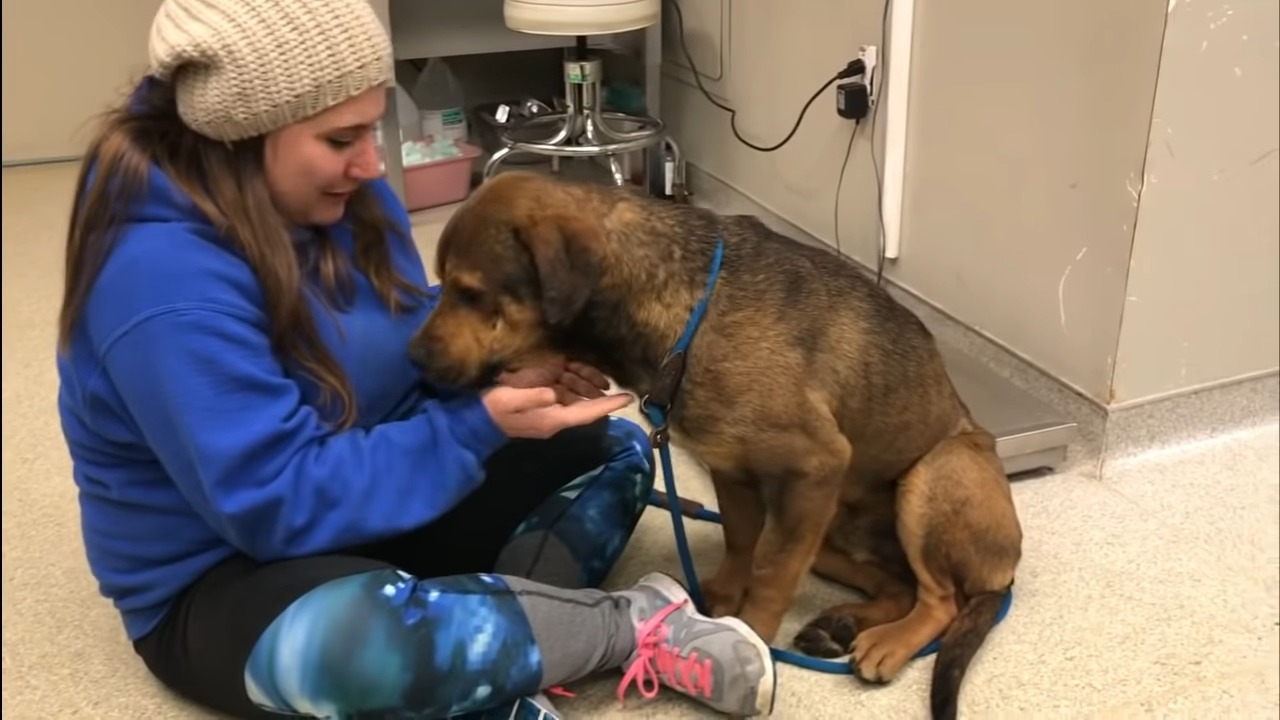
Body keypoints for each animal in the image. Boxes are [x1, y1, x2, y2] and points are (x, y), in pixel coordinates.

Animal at [414, 170, 1024, 712]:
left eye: (470, 293)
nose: (412, 359)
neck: (678, 310)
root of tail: (1003, 574)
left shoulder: (815, 467)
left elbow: (770, 575)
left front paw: (750, 631)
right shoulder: (732, 470)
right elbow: (739, 544)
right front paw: (724, 603)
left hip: (929, 475)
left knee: (940, 599)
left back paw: (890, 642)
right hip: (828, 537)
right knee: (898, 586)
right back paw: (842, 623)